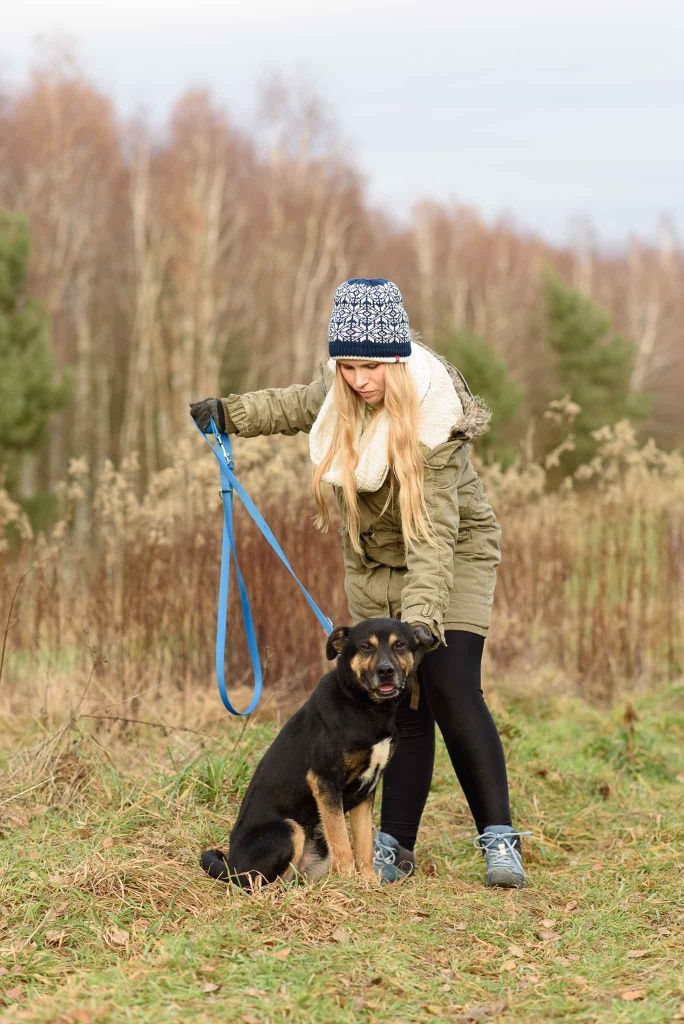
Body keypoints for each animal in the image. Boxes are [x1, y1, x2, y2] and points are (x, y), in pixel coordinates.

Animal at [198, 614, 428, 888]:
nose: (385, 672)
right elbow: (342, 843)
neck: (365, 707)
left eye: (399, 644)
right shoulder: (325, 781)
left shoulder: (367, 789)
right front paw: (348, 883)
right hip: (288, 829)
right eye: (365, 647)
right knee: (259, 882)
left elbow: (363, 846)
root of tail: (230, 868)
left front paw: (369, 884)